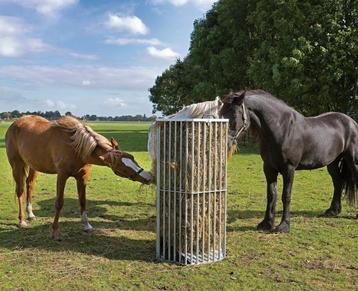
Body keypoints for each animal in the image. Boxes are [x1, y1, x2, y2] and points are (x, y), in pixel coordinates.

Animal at [5, 115, 152, 241]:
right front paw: (54, 232)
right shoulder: (62, 175)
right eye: (122, 167)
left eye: (132, 157)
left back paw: (30, 214)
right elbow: (59, 203)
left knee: (30, 185)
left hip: (33, 166)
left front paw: (87, 226)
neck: (76, 147)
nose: (148, 177)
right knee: (20, 191)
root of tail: (15, 123)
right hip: (17, 165)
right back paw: (22, 220)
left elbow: (83, 201)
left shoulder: (82, 177)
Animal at [220, 90, 356, 234]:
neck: (281, 129)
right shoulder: (269, 168)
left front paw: (283, 226)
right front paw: (266, 223)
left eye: (234, 113)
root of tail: (351, 121)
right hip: (332, 163)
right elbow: (271, 194)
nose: (224, 142)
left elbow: (286, 195)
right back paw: (333, 211)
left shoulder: (289, 169)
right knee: (338, 183)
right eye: (221, 112)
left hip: (353, 162)